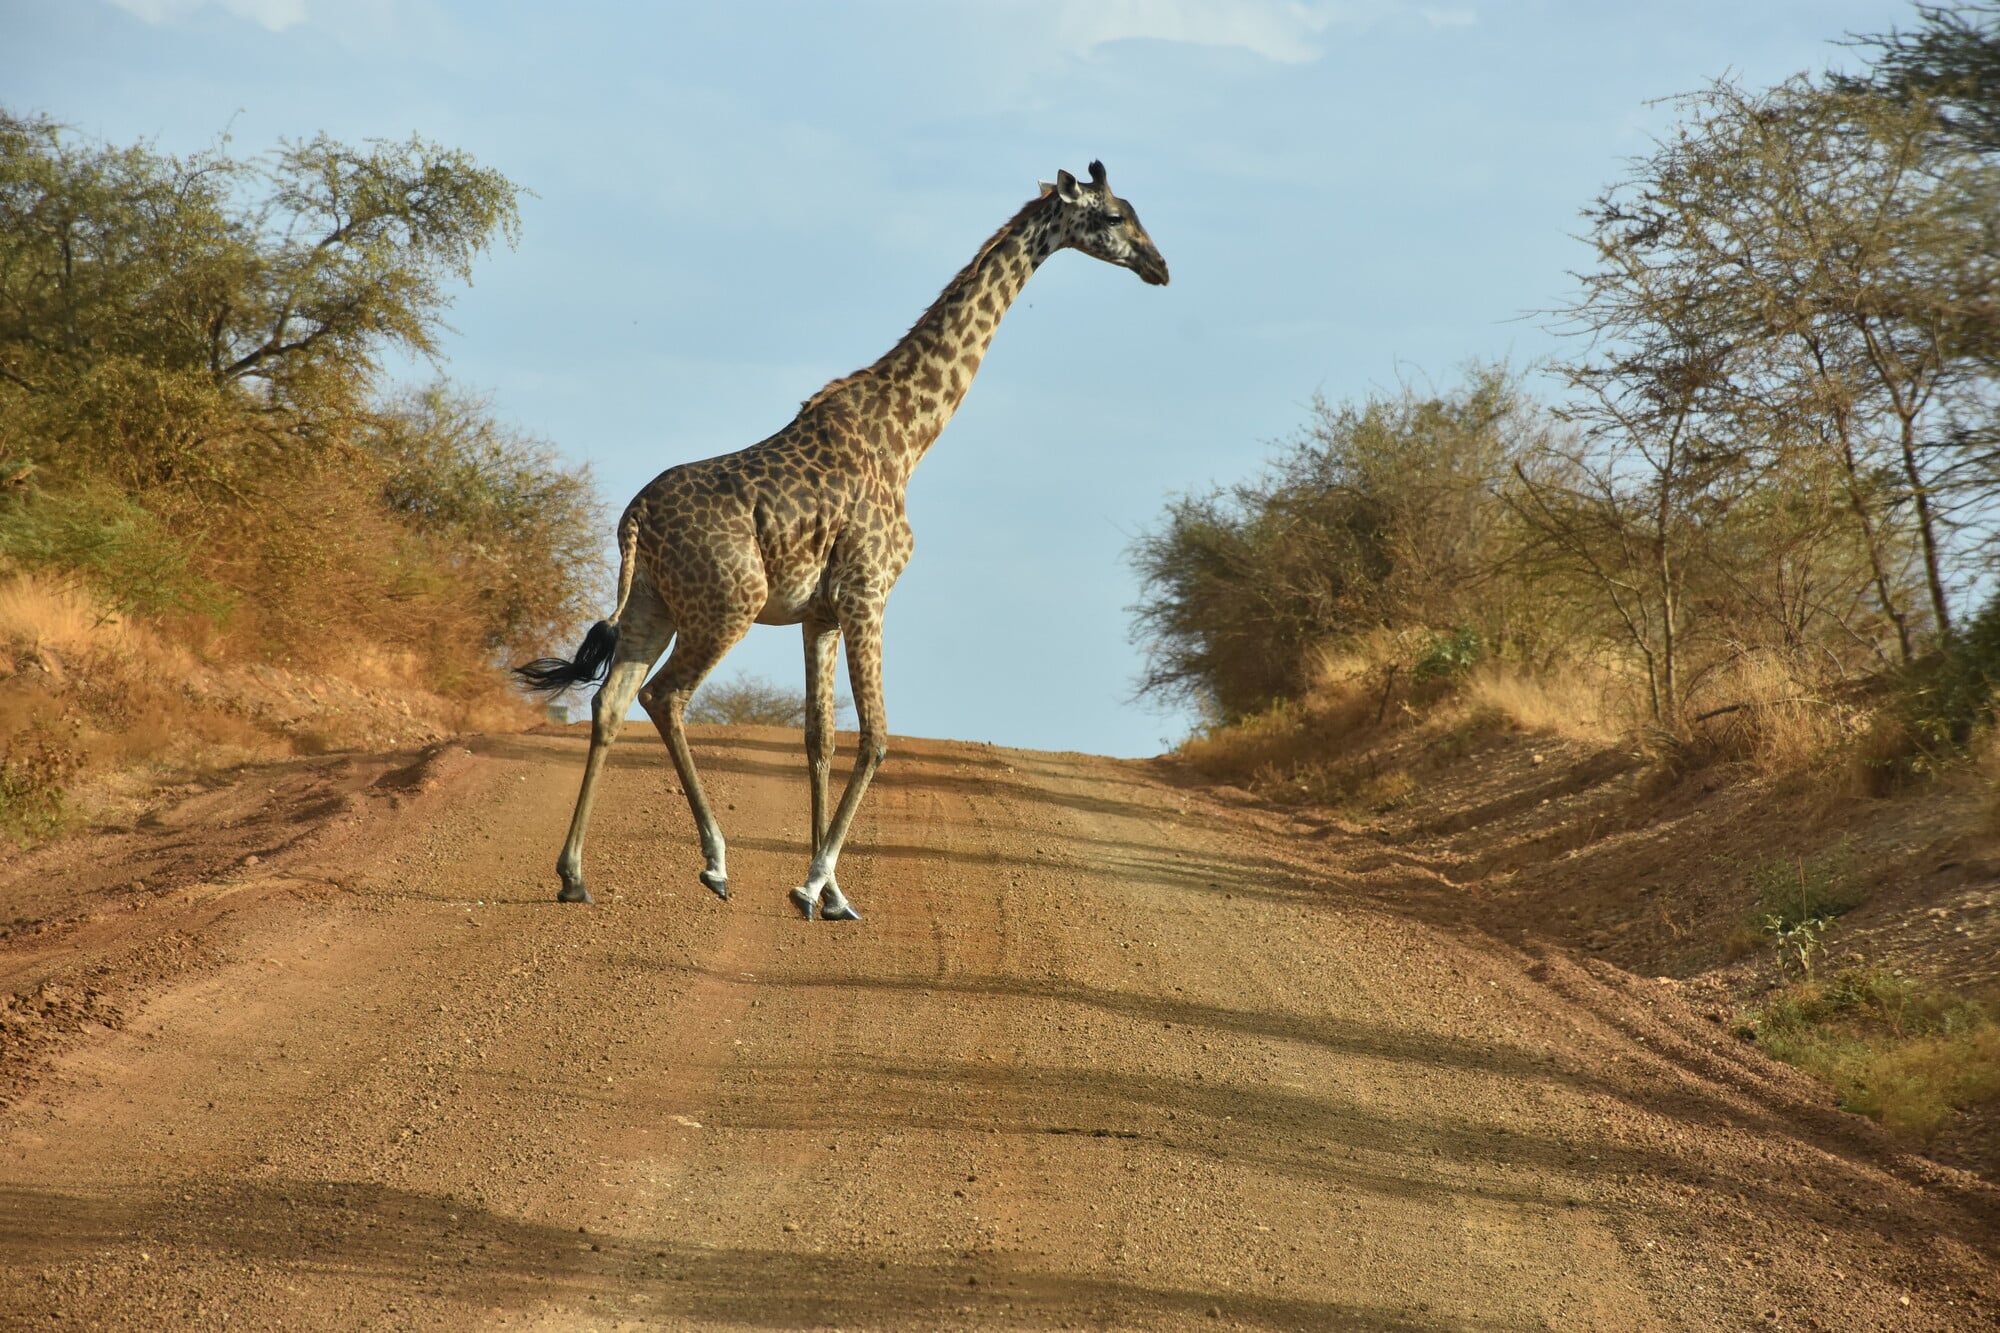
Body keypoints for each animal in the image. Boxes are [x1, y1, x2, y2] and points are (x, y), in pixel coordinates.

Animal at [520, 161, 1168, 920]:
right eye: (1116, 216)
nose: (1160, 267)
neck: (909, 434)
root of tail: (634, 518)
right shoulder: (868, 591)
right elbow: (878, 737)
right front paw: (813, 881)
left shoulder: (821, 613)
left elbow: (820, 739)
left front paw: (831, 894)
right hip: (727, 604)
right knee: (666, 698)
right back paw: (714, 863)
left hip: (654, 603)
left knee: (611, 702)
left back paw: (573, 875)